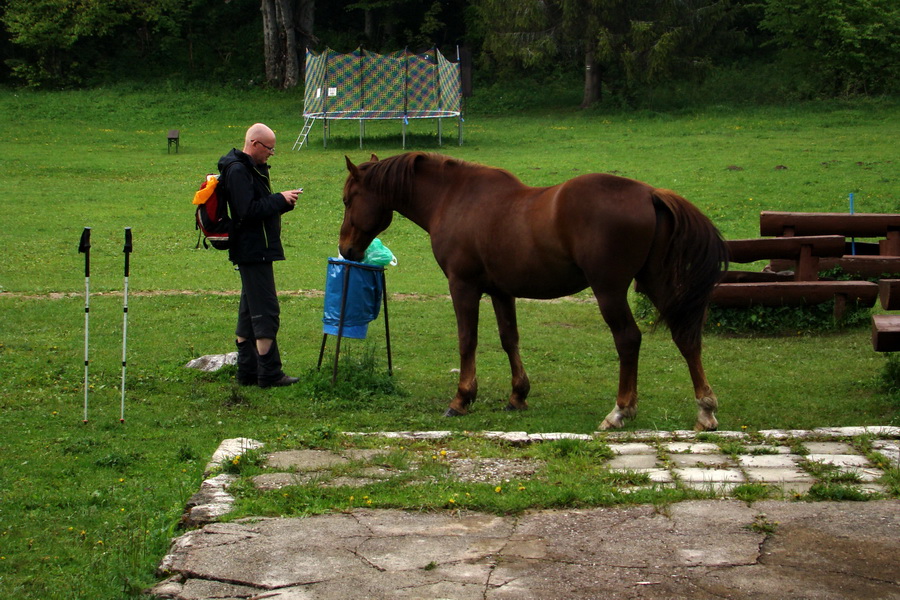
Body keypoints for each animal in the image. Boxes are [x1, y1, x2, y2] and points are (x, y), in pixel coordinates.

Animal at [342, 152, 728, 428]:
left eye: (348, 200)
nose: (346, 249)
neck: (454, 199)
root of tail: (650, 194)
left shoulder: (463, 286)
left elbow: (468, 340)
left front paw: (462, 399)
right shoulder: (500, 291)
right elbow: (509, 339)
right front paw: (517, 395)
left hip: (610, 291)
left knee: (629, 340)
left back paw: (621, 410)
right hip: (657, 284)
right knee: (685, 337)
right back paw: (705, 409)